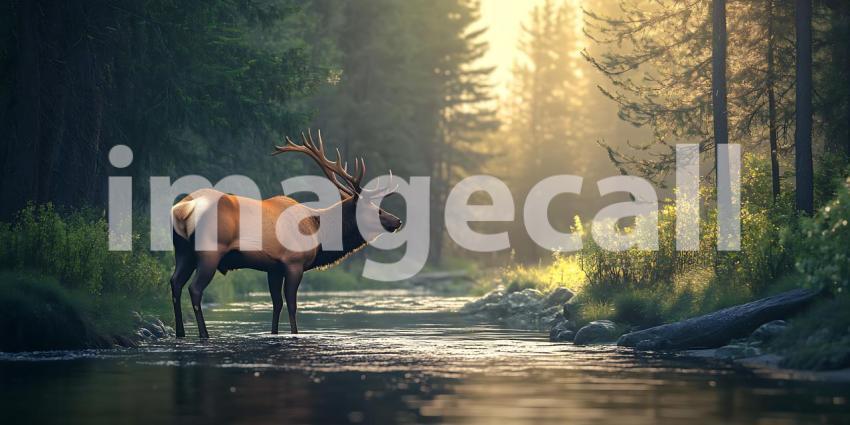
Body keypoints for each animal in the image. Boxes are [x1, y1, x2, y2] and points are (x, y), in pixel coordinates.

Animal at [168, 130, 402, 338]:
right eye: (376, 209)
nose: (397, 221)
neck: (318, 232)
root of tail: (182, 208)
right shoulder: (293, 263)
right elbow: (291, 304)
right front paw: (295, 334)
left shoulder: (274, 268)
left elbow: (276, 304)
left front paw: (274, 333)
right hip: (209, 251)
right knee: (195, 289)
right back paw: (204, 334)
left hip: (183, 251)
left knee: (175, 283)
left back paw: (180, 333)